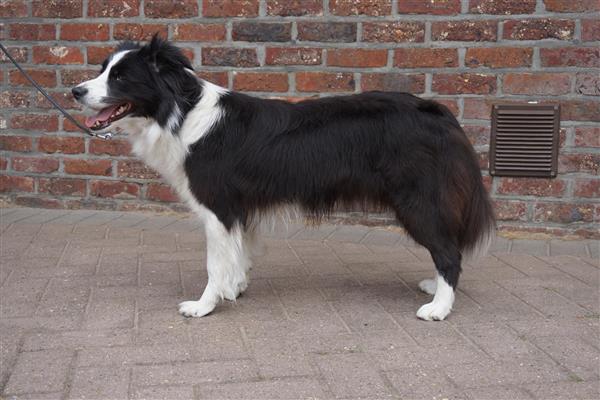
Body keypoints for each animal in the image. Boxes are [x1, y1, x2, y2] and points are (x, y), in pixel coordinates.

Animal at [72, 36, 494, 320]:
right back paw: (434, 288)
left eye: (121, 77)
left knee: (449, 252)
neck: (181, 111)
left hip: (417, 200)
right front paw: (234, 288)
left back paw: (439, 306)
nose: (75, 90)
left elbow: (214, 262)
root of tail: (437, 111)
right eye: (102, 70)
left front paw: (205, 304)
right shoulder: (240, 209)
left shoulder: (218, 207)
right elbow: (238, 254)